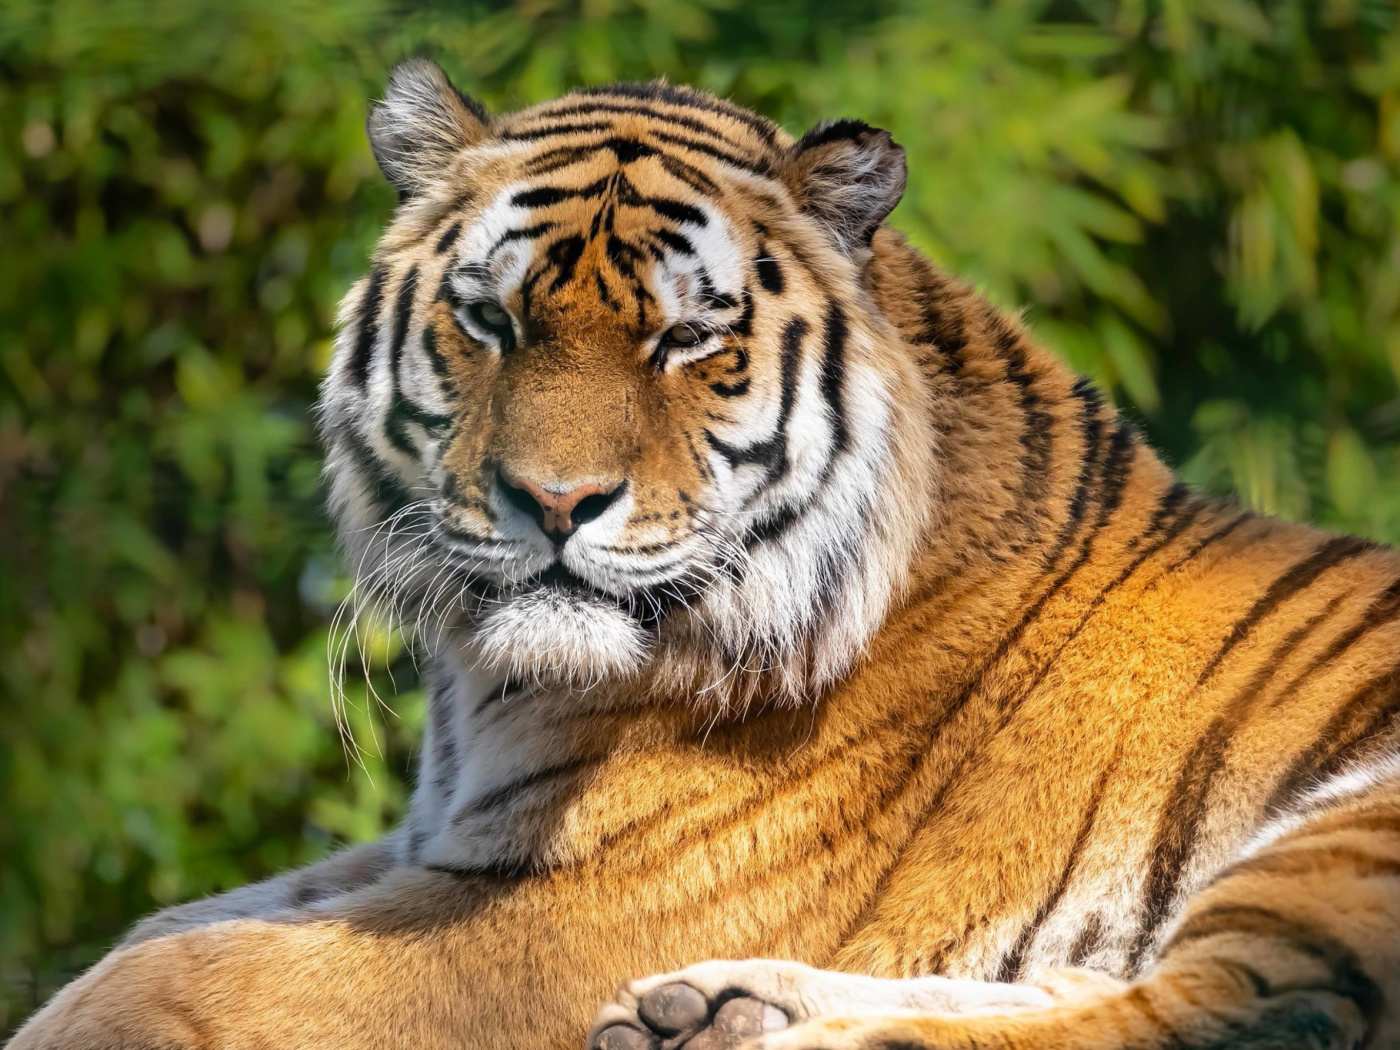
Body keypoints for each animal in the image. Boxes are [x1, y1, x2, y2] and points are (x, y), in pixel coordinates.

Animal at [10, 55, 1400, 1050]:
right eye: (490, 320)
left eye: (685, 340)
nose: (554, 501)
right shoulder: (429, 848)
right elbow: (160, 925)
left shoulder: (566, 914)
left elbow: (164, 978)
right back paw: (717, 1013)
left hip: (1346, 829)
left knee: (1244, 1010)